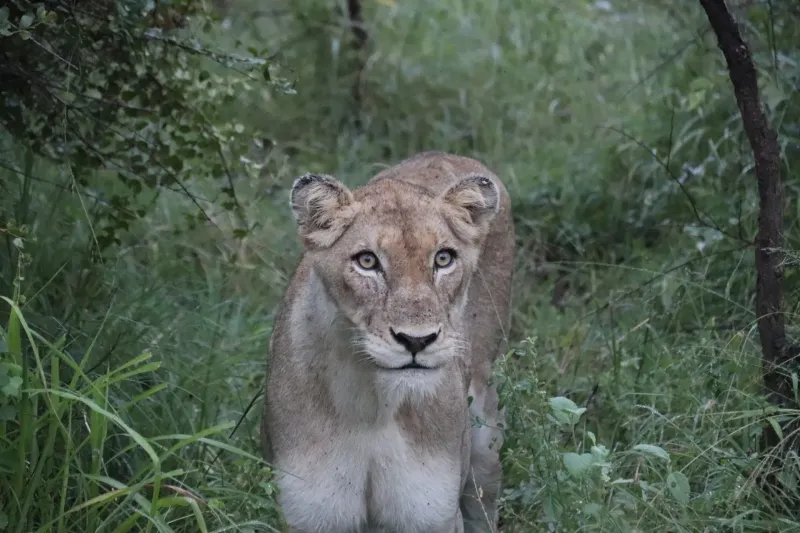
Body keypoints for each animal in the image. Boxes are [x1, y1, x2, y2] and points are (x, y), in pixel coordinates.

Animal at [261, 151, 515, 533]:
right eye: (367, 261)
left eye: (443, 258)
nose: (417, 340)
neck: (370, 404)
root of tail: (446, 153)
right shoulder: (308, 516)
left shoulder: (433, 515)